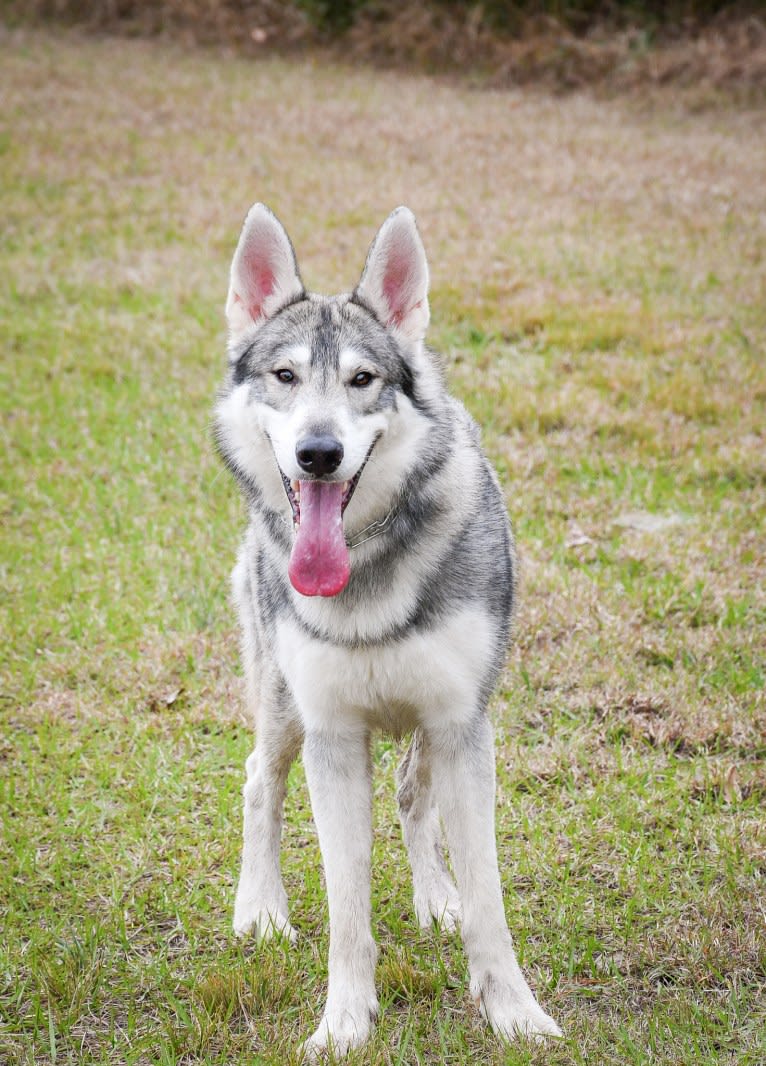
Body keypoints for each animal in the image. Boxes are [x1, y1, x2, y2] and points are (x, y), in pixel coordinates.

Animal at [215, 203, 562, 1053]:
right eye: (284, 377)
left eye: (362, 380)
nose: (318, 452)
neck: (365, 564)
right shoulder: (333, 738)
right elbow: (348, 911)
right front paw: (344, 1023)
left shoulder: (461, 725)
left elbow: (489, 902)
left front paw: (514, 1013)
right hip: (284, 711)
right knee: (258, 780)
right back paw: (259, 909)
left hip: (438, 724)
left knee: (411, 795)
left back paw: (436, 897)